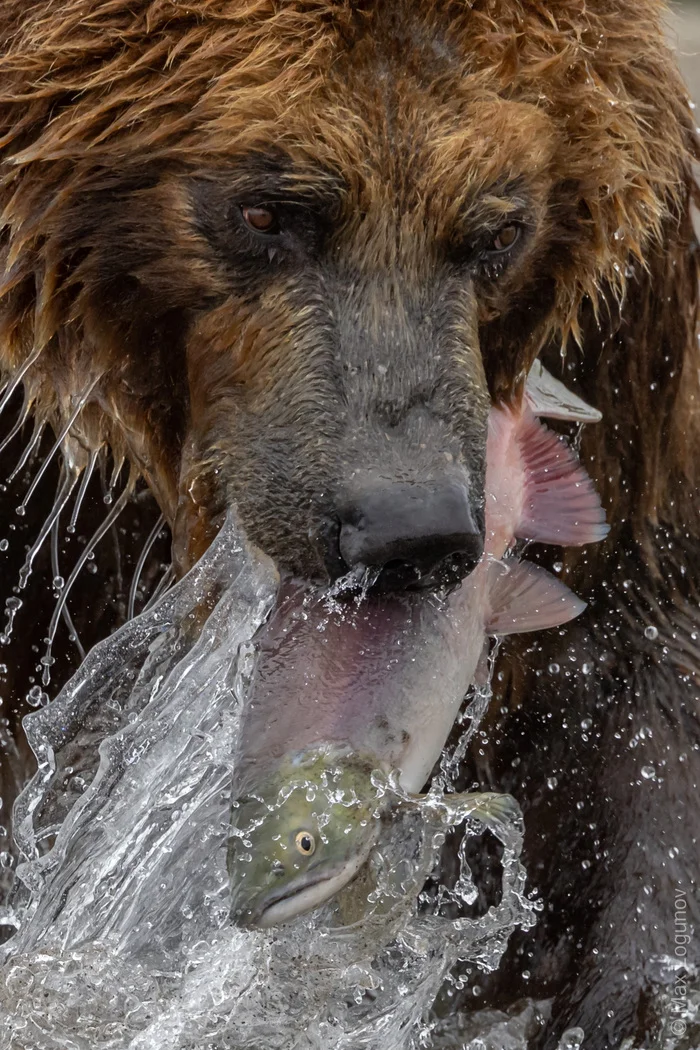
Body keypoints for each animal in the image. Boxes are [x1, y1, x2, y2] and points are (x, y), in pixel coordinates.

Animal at [0, 0, 696, 1045]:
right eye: (266, 210)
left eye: (500, 231)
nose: (411, 531)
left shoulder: (636, 339)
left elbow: (624, 690)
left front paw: (633, 997)